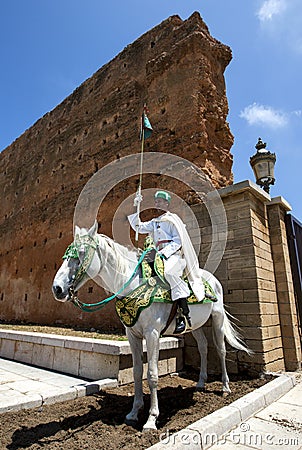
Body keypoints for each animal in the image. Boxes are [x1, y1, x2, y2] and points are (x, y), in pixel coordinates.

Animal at [53, 223, 251, 430]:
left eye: (81, 254)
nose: (57, 288)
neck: (134, 285)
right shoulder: (132, 335)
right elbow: (137, 371)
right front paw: (133, 412)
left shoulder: (153, 334)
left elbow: (152, 374)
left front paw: (151, 419)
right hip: (195, 325)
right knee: (203, 347)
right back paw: (200, 382)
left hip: (218, 317)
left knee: (220, 350)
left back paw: (225, 387)